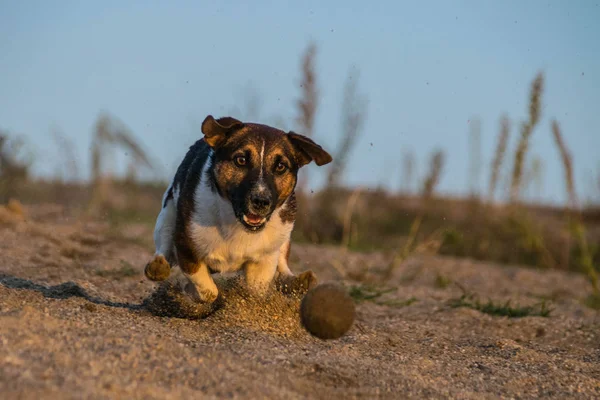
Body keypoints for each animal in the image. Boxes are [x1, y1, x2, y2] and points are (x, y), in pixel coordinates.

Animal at [145, 114, 332, 302]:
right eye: (241, 160)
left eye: (281, 166)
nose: (261, 201)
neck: (236, 224)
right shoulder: (187, 249)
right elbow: (209, 291)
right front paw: (198, 295)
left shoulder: (264, 259)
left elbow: (255, 291)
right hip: (167, 213)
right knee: (164, 244)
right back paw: (158, 267)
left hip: (283, 236)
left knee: (283, 264)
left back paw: (298, 281)